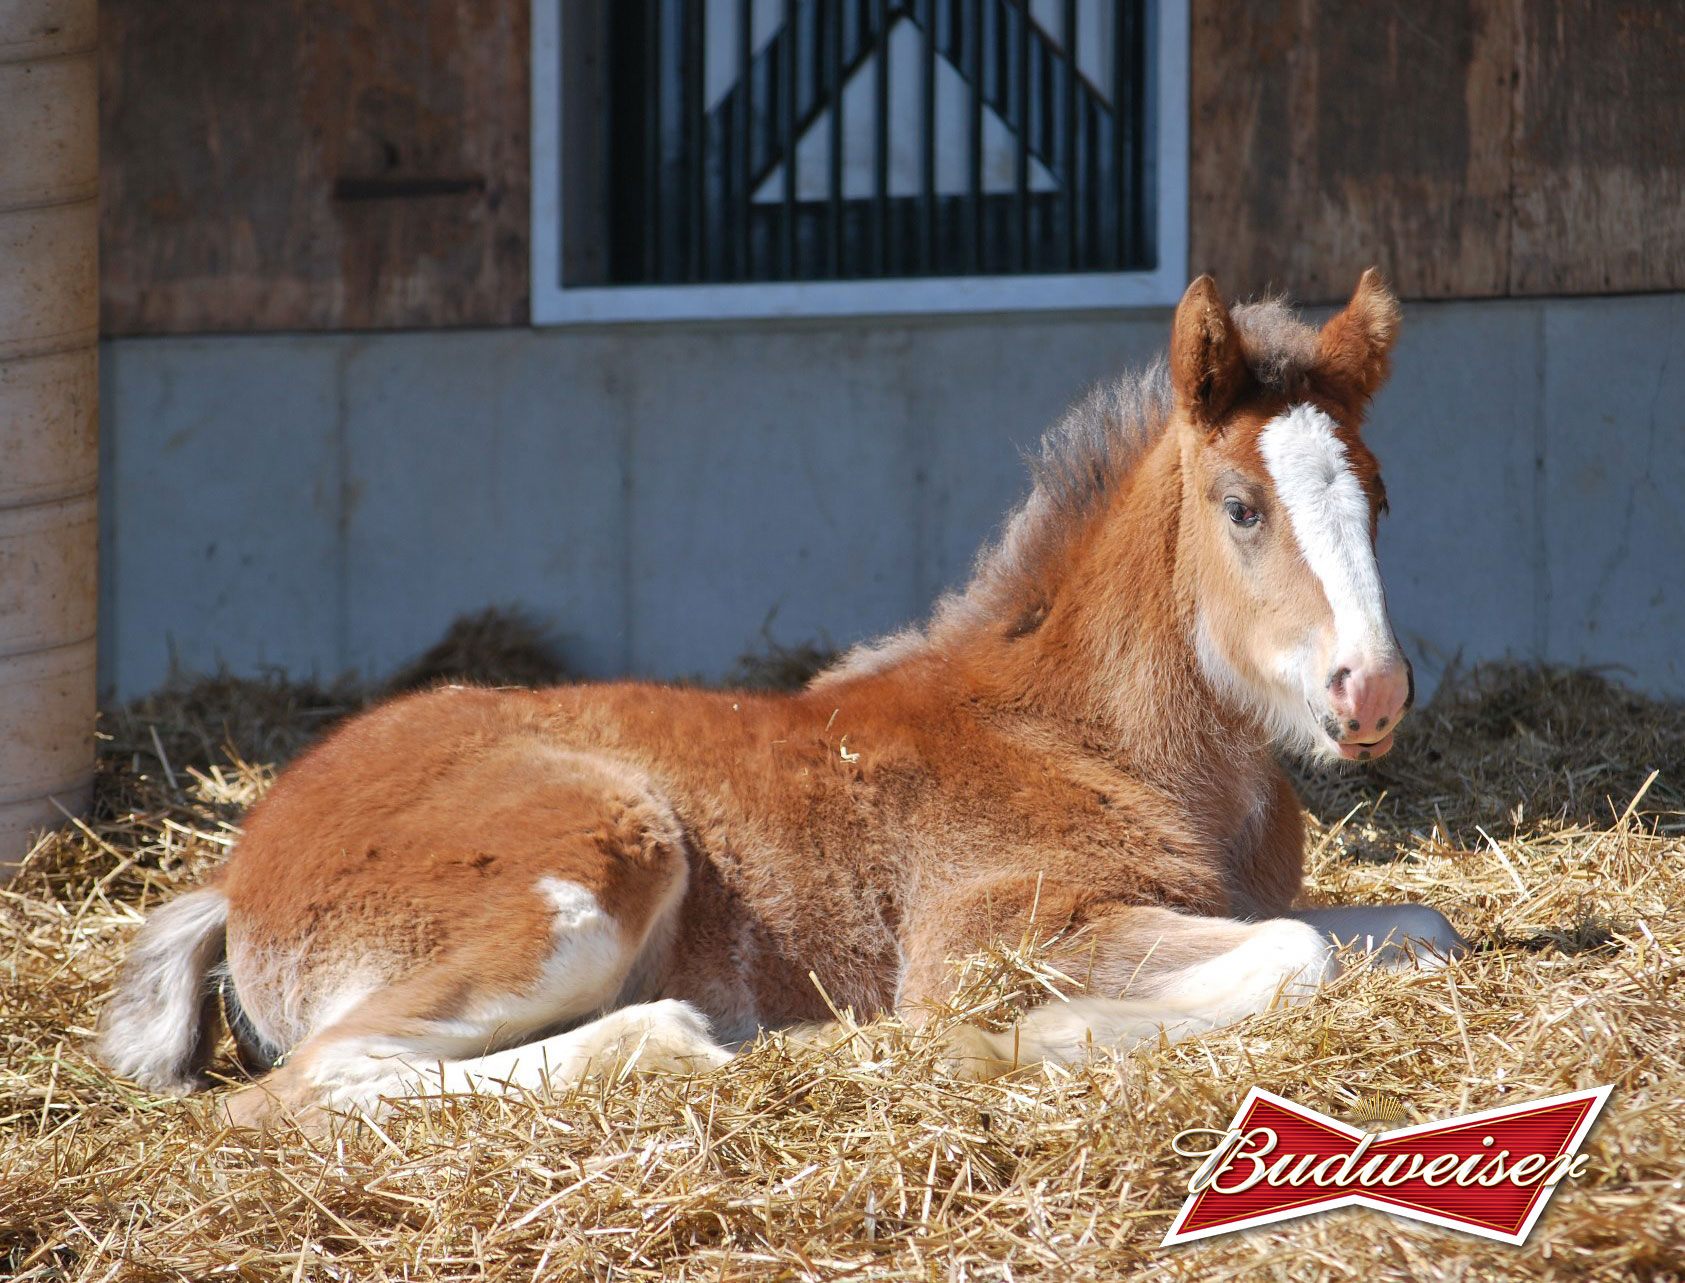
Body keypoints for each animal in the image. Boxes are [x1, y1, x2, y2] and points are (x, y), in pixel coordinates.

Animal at [98, 268, 1462, 1119]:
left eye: (1383, 496)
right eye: (1241, 506)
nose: (1369, 689)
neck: (1090, 734)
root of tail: (238, 867)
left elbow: (1419, 929)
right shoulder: (995, 937)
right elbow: (1291, 952)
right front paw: (997, 1042)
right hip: (590, 862)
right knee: (305, 1084)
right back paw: (675, 1042)